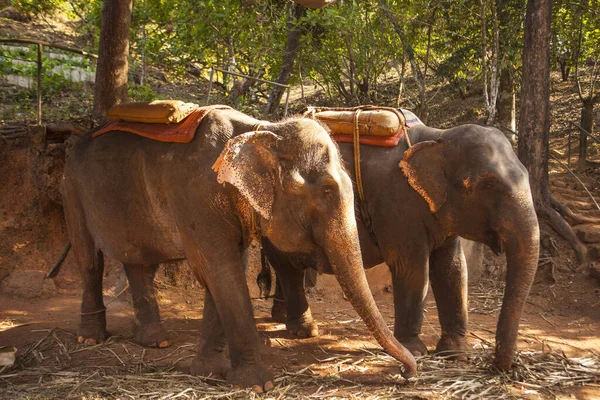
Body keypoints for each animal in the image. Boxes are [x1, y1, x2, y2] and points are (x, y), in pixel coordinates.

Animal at [61, 106, 418, 390]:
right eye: (327, 191)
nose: (406, 373)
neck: (260, 130)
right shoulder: (199, 195)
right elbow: (221, 270)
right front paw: (257, 384)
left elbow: (226, 269)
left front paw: (208, 372)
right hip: (72, 189)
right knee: (90, 260)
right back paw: (91, 337)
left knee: (140, 262)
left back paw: (155, 340)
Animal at [262, 122, 540, 372]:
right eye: (488, 185)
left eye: (528, 175)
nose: (497, 367)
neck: (437, 136)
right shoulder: (397, 205)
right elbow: (412, 268)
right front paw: (415, 351)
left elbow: (452, 268)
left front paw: (456, 354)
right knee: (287, 266)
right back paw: (301, 331)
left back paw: (280, 317)